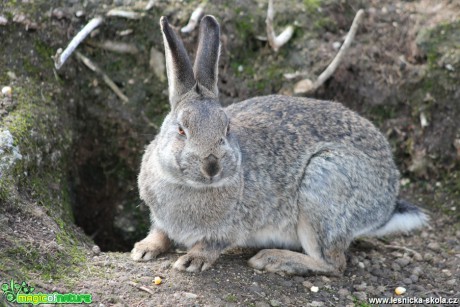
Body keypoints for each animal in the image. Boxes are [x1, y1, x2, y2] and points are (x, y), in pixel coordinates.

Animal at [131, 15, 430, 276]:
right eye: (182, 129)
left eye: (226, 128)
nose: (212, 166)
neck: (190, 185)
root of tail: (386, 203)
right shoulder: (160, 218)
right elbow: (159, 232)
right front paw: (143, 249)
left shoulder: (232, 227)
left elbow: (212, 244)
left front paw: (192, 260)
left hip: (323, 185)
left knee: (334, 264)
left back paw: (273, 259)